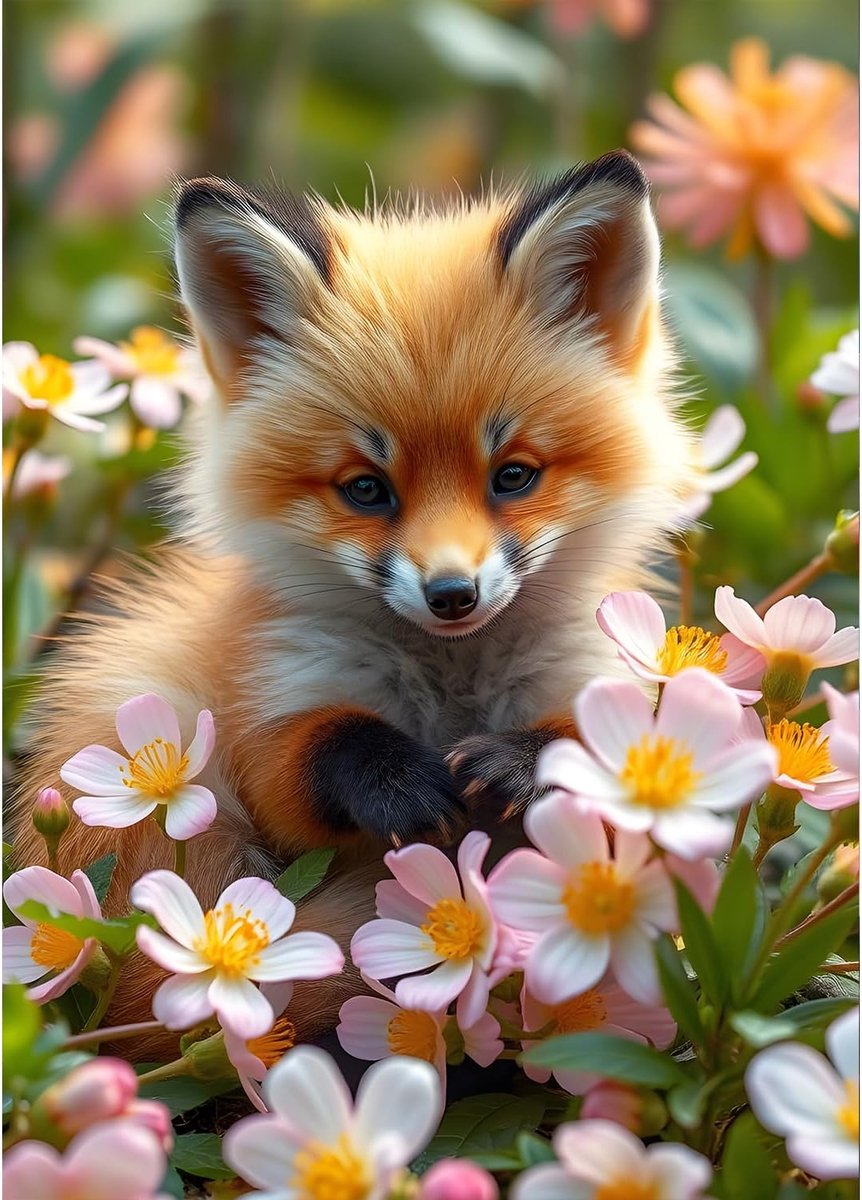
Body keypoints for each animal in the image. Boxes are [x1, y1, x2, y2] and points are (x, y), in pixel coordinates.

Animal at [12, 150, 695, 1055]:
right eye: (366, 489)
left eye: (513, 475)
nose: (452, 594)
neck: (451, 686)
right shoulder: (271, 697)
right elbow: (314, 755)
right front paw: (398, 782)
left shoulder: (591, 690)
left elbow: (592, 764)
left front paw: (517, 763)